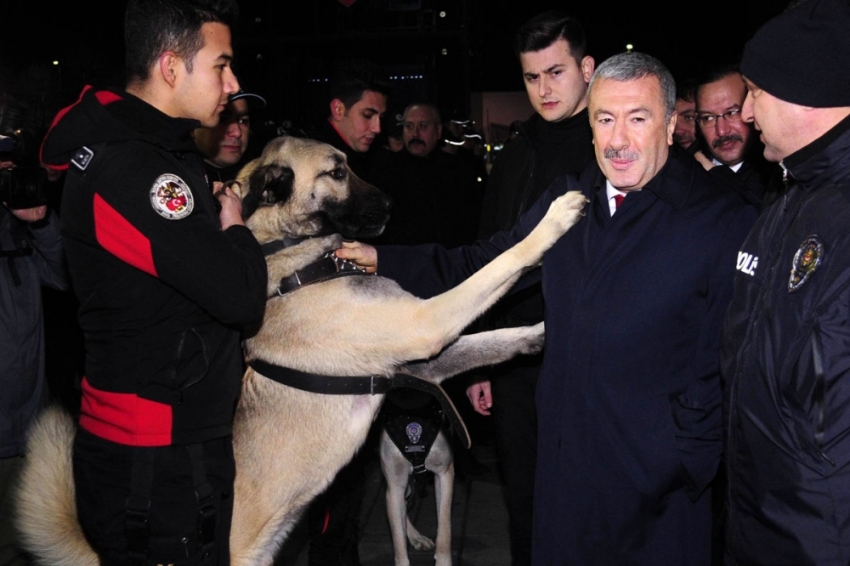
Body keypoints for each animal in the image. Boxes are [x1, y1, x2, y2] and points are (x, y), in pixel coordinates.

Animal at [13, 138, 588, 566]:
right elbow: (497, 267)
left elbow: (491, 340)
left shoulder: (418, 359)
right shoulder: (426, 324)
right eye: (336, 172)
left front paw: (541, 333)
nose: (392, 205)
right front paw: (553, 222)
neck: (295, 264)